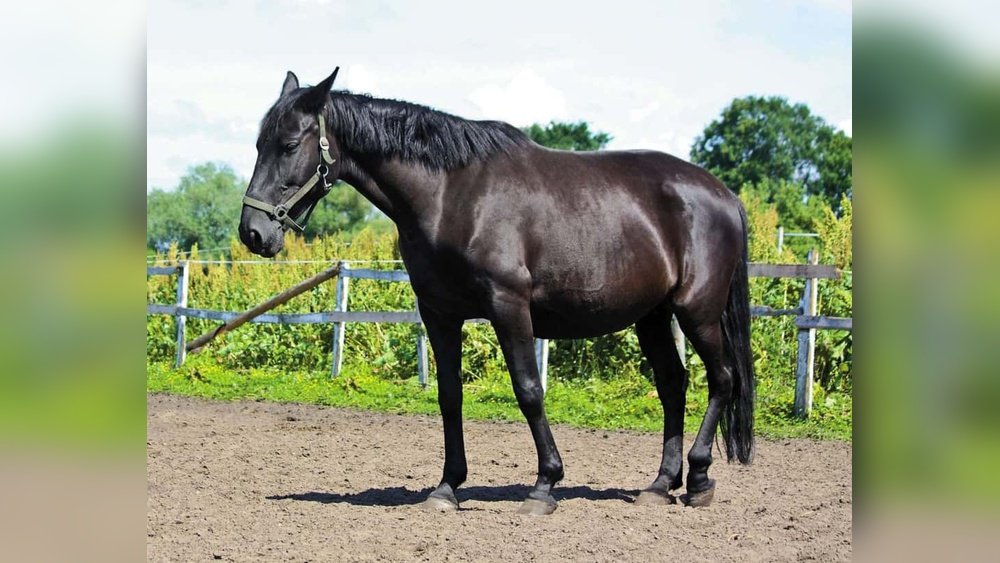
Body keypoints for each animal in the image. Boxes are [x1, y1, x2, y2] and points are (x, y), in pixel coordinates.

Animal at [238, 69, 755, 515]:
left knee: (722, 379)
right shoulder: (439, 314)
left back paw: (699, 479)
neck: (452, 195)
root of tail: (723, 194)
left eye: (289, 144)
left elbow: (529, 390)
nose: (253, 233)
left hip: (697, 311)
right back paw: (661, 484)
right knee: (673, 384)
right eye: (259, 143)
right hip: (651, 316)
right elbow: (449, 395)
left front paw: (545, 485)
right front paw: (447, 487)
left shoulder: (510, 307)